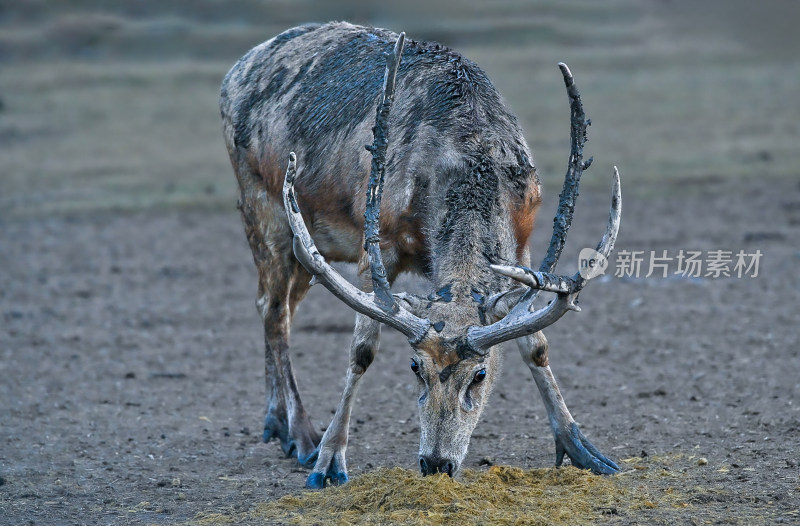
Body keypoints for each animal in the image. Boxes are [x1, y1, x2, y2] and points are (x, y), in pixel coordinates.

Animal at [220, 20, 624, 490]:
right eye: (415, 367)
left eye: (480, 374)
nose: (436, 463)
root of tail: (236, 69)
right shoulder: (378, 244)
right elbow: (362, 350)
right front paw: (329, 460)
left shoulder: (521, 245)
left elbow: (536, 346)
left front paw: (584, 450)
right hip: (262, 204)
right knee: (272, 308)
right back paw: (302, 435)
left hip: (307, 244)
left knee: (278, 305)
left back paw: (277, 425)